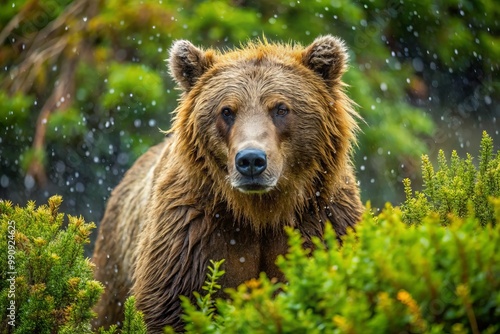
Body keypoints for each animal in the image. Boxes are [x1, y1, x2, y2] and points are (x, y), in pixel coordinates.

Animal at [92, 35, 362, 332]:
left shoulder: (321, 220)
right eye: (227, 110)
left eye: (281, 108)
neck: (260, 213)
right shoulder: (190, 237)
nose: (251, 160)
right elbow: (169, 307)